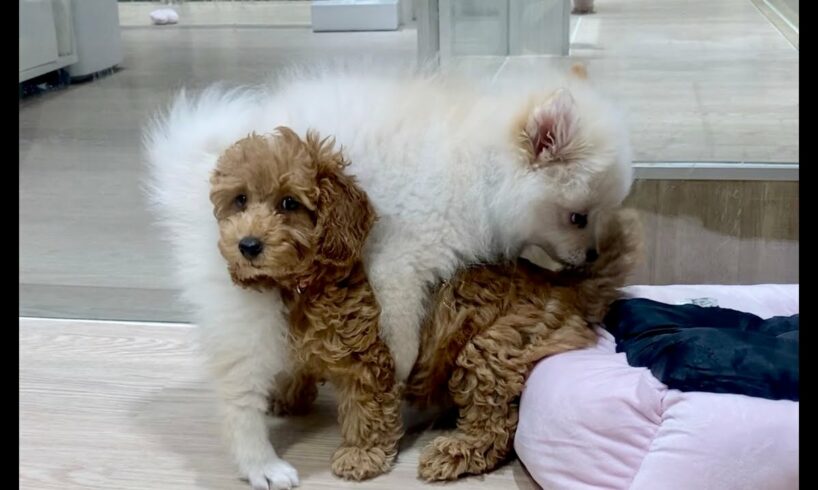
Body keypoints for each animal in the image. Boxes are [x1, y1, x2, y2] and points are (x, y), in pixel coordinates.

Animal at [210, 127, 402, 482]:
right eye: (240, 199)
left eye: (290, 203)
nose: (248, 245)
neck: (302, 286)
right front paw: (288, 392)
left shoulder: (362, 350)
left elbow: (365, 402)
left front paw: (361, 454)